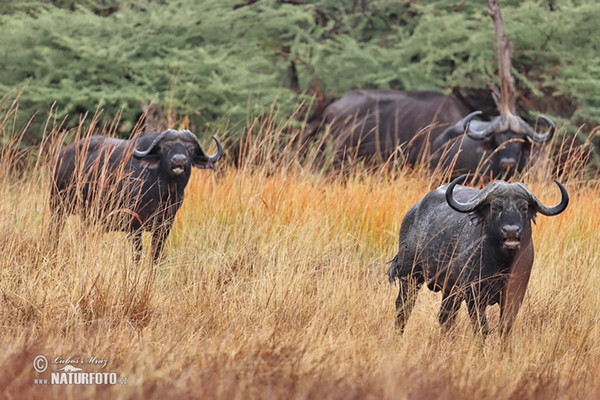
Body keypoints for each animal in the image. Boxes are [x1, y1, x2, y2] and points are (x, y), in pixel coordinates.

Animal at [50, 129, 224, 262]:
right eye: (165, 147)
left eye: (190, 148)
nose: (179, 160)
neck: (162, 193)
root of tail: (62, 155)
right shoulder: (134, 226)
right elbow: (138, 254)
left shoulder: (165, 226)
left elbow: (155, 254)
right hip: (58, 206)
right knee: (56, 231)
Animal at [390, 175, 568, 334]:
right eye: (495, 207)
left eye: (523, 207)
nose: (511, 231)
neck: (502, 264)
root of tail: (413, 211)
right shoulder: (474, 296)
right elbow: (482, 329)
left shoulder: (514, 295)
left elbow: (505, 328)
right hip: (410, 277)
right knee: (403, 308)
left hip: (450, 289)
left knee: (445, 318)